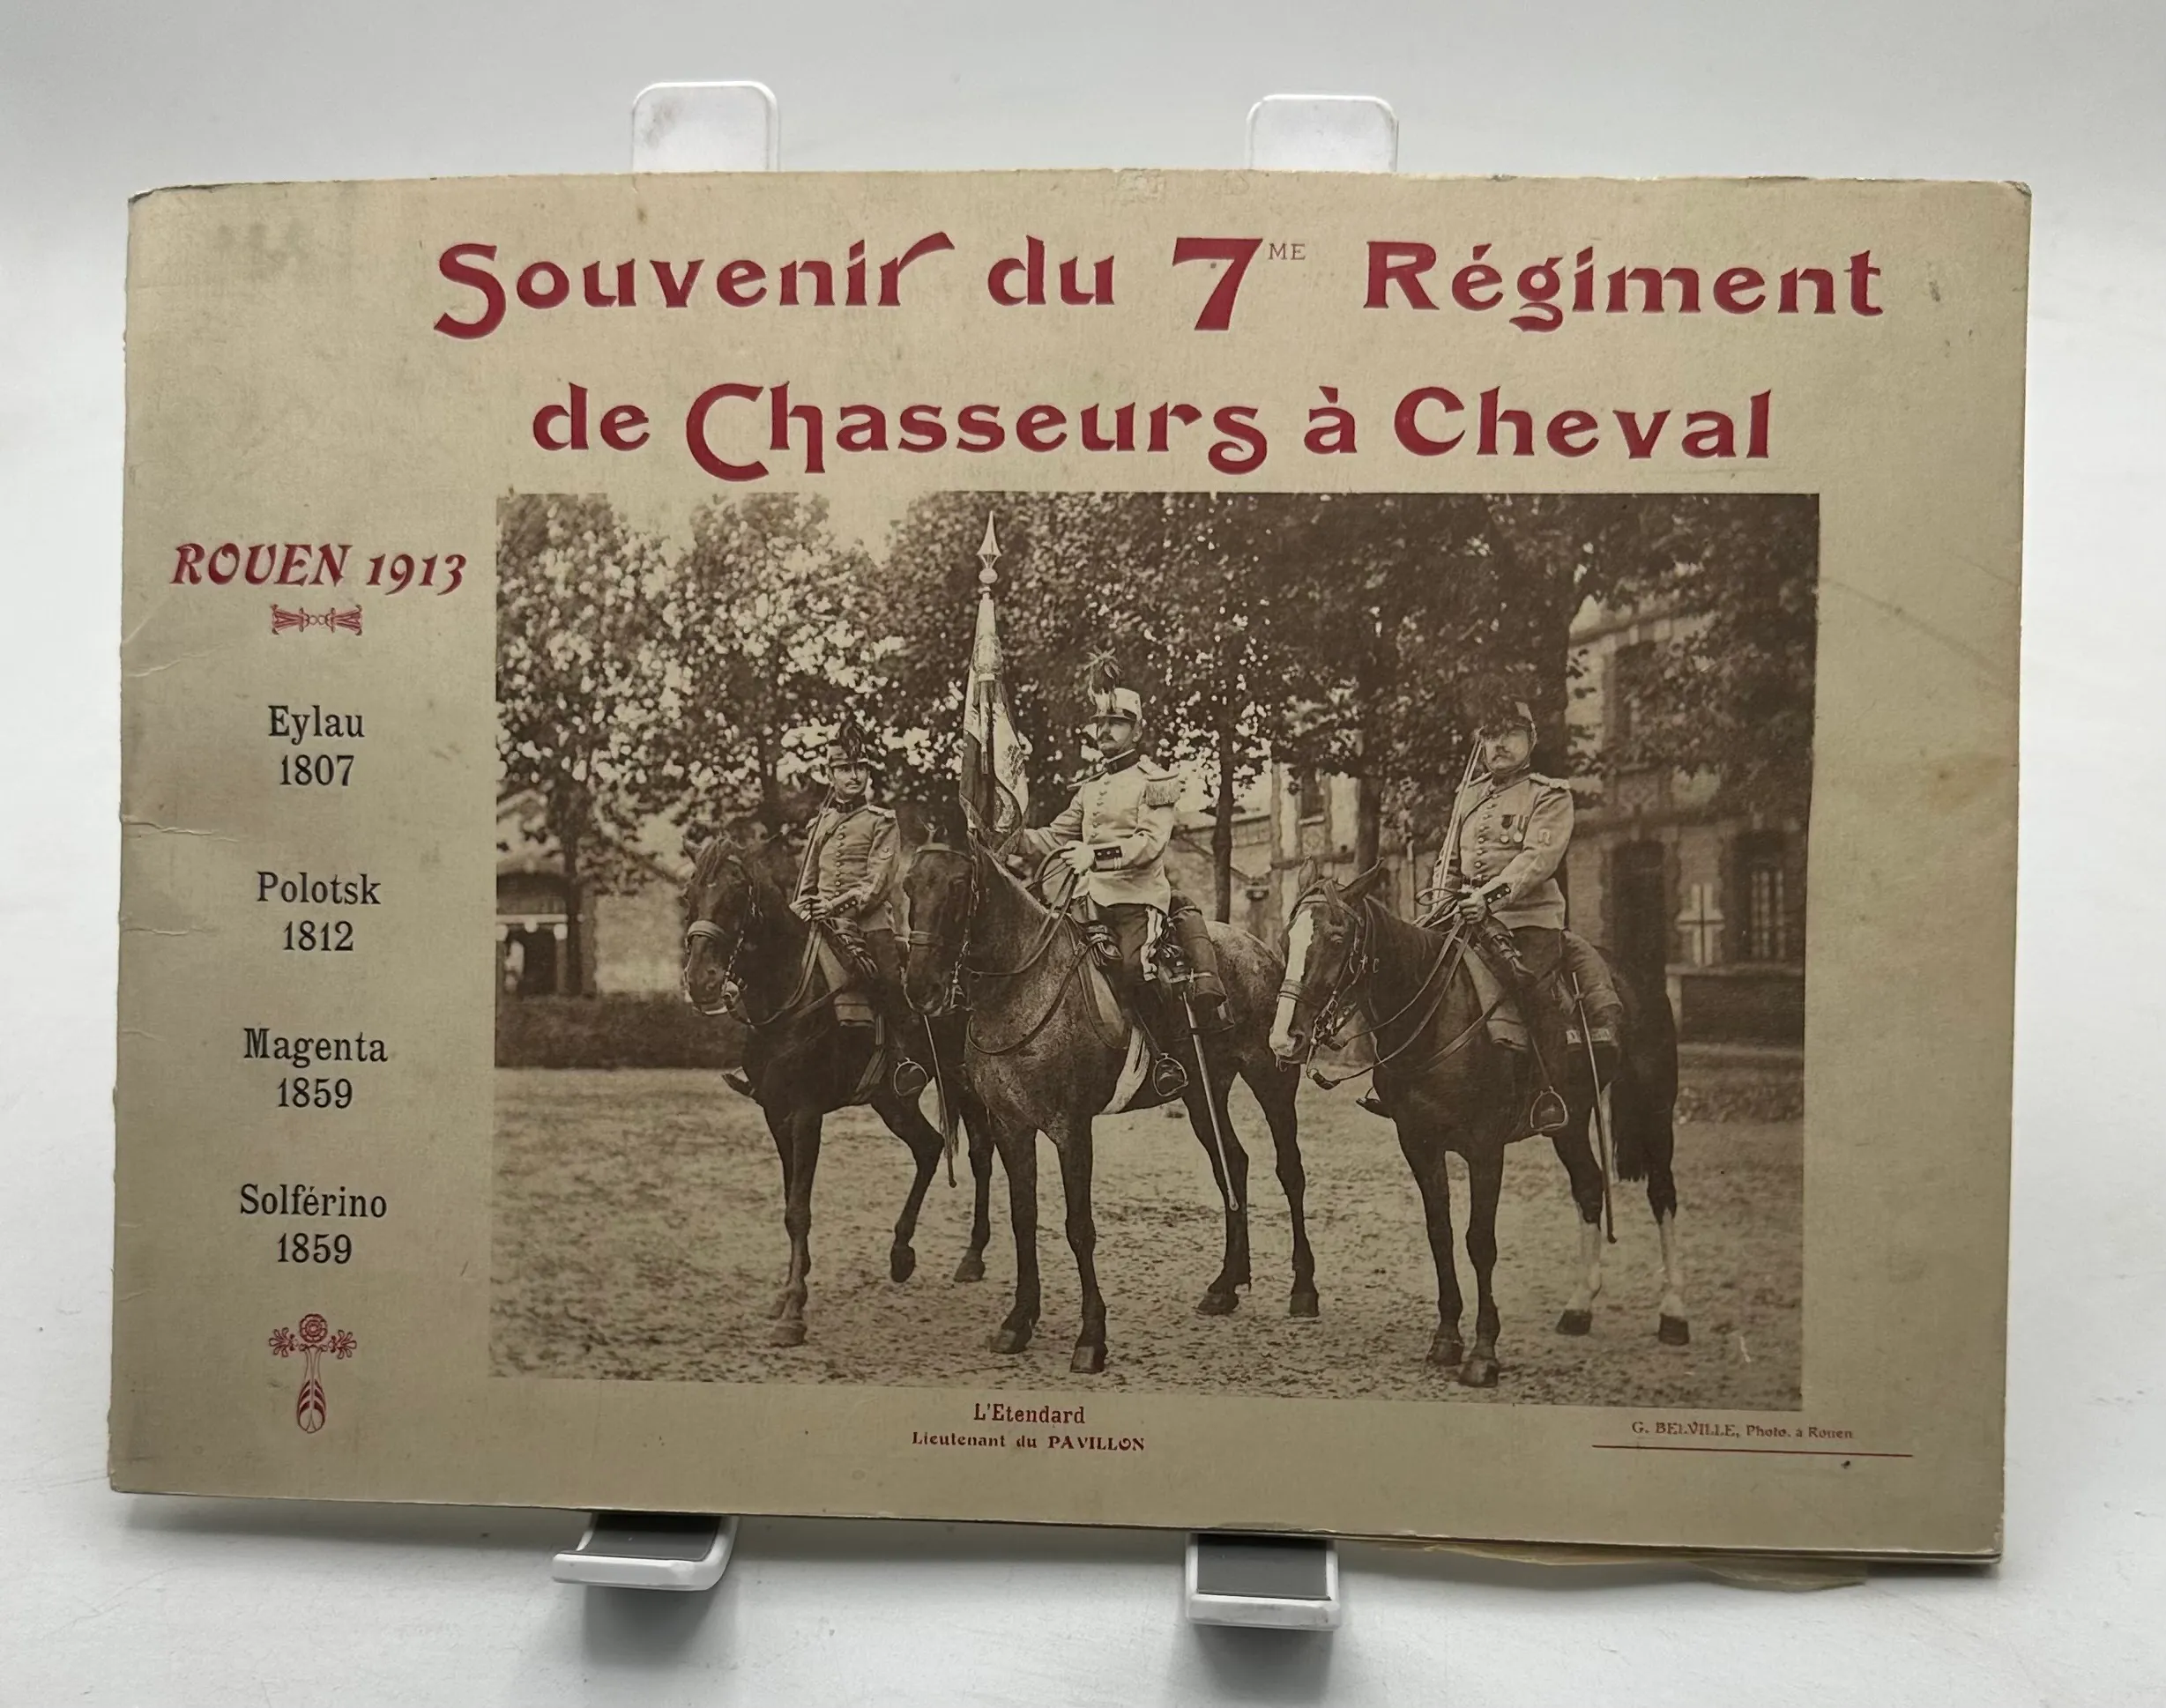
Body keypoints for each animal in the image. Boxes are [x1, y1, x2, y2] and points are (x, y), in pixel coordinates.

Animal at [680, 829, 990, 1349]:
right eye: (689, 895)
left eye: (736, 897)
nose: (701, 981)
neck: (788, 991)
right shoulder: (777, 1115)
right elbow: (791, 1204)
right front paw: (789, 1293)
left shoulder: (806, 1115)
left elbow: (799, 1209)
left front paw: (793, 1312)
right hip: (891, 1098)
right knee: (929, 1147)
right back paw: (901, 1253)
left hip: (964, 1083)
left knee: (980, 1154)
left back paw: (973, 1256)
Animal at [896, 797, 1317, 1375]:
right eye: (910, 885)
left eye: (959, 884)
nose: (921, 988)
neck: (1020, 987)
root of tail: (1261, 949)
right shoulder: (1011, 1126)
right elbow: (1023, 1218)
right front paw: (1018, 1321)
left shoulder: (1071, 1128)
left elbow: (1079, 1226)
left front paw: (1091, 1338)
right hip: (1201, 1092)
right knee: (1232, 1164)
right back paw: (1226, 1285)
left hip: (1271, 1079)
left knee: (1289, 1170)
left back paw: (1303, 1289)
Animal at [1269, 863, 1686, 1388]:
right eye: (1288, 937)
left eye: (1338, 936)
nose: (1284, 1038)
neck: (1434, 1016)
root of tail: (1633, 973)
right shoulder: (1419, 1145)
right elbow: (1440, 1234)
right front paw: (1447, 1338)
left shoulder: (1486, 1148)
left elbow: (1479, 1242)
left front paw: (1484, 1353)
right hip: (1570, 1118)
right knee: (1591, 1187)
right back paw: (1579, 1306)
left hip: (1655, 1109)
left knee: (1662, 1193)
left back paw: (1673, 1313)